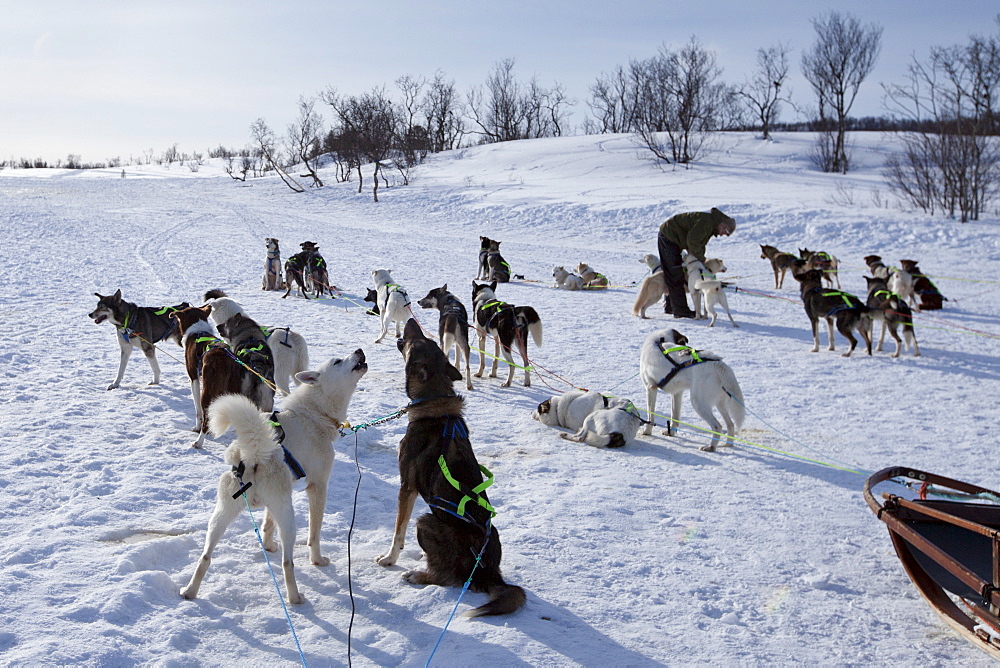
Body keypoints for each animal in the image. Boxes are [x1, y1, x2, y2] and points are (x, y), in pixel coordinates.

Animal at [180, 352, 368, 604]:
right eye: (337, 361)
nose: (359, 350)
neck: (314, 412)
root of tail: (252, 454)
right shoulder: (318, 487)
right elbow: (314, 534)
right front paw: (317, 560)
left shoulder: (277, 500)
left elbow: (267, 524)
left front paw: (268, 546)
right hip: (288, 518)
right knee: (288, 562)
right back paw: (295, 597)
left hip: (223, 514)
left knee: (205, 556)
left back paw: (190, 591)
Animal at [376, 320, 528, 620]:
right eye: (430, 342)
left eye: (417, 341)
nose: (411, 321)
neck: (433, 404)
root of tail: (489, 573)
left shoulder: (407, 487)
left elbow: (398, 531)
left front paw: (389, 558)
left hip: (426, 521)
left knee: (447, 578)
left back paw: (418, 575)